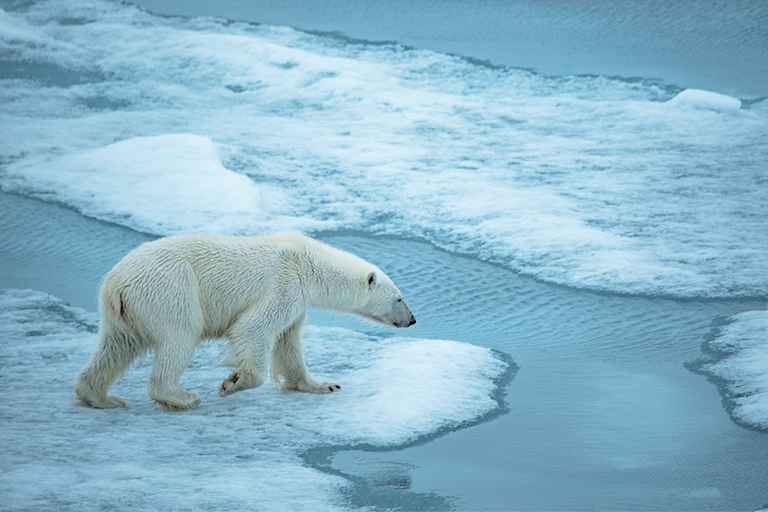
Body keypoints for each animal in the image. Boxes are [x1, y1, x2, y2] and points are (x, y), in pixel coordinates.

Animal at [73, 233, 414, 412]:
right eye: (399, 298)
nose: (412, 320)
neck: (307, 262)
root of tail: (116, 283)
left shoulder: (297, 302)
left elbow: (289, 342)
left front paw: (323, 384)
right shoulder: (284, 284)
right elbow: (254, 328)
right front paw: (233, 382)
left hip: (125, 311)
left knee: (116, 346)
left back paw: (101, 397)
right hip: (171, 288)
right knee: (180, 335)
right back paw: (183, 397)